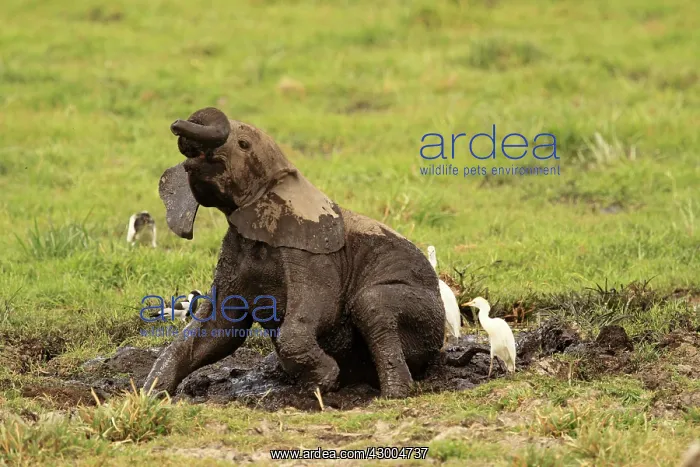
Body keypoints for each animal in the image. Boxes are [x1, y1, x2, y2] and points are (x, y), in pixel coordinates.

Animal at [143, 107, 445, 399]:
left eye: (243, 144)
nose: (176, 125)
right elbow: (218, 331)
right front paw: (149, 394)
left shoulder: (312, 255)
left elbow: (321, 310)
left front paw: (324, 381)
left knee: (372, 303)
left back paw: (393, 394)